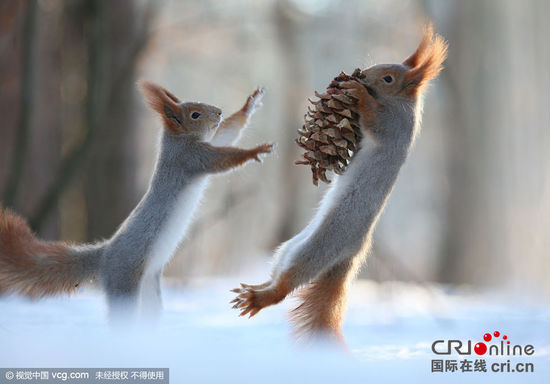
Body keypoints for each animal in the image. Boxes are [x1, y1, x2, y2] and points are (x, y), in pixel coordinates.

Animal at [0, 82, 272, 320]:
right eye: (195, 114)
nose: (219, 112)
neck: (177, 141)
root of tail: (105, 257)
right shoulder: (191, 157)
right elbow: (223, 158)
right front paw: (255, 151)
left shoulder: (205, 145)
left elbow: (226, 133)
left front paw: (249, 105)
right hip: (124, 283)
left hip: (149, 292)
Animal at [231, 27, 450, 344]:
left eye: (388, 78)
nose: (362, 75)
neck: (401, 102)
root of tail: (352, 254)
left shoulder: (392, 124)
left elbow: (372, 118)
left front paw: (357, 93)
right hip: (289, 248)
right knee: (277, 277)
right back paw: (254, 290)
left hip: (316, 248)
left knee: (285, 288)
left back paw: (259, 299)